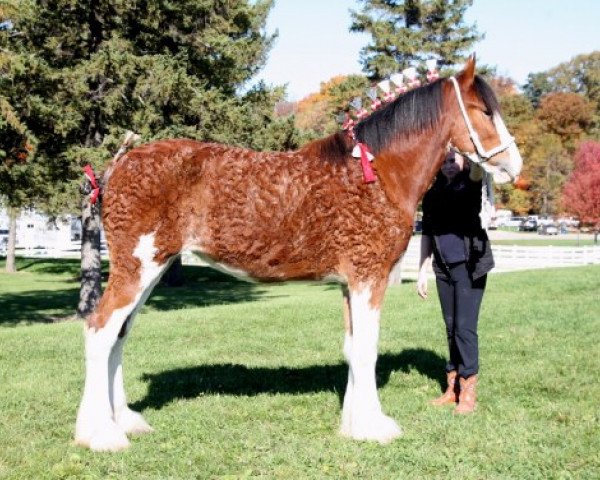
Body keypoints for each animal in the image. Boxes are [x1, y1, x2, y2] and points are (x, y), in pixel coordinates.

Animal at [75, 56, 524, 450]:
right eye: (485, 111)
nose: (514, 166)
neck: (377, 173)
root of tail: (118, 165)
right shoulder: (368, 278)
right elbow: (367, 349)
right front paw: (376, 427)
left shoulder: (349, 283)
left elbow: (352, 349)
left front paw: (353, 424)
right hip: (137, 267)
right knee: (100, 331)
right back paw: (101, 435)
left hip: (151, 268)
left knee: (119, 336)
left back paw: (125, 421)